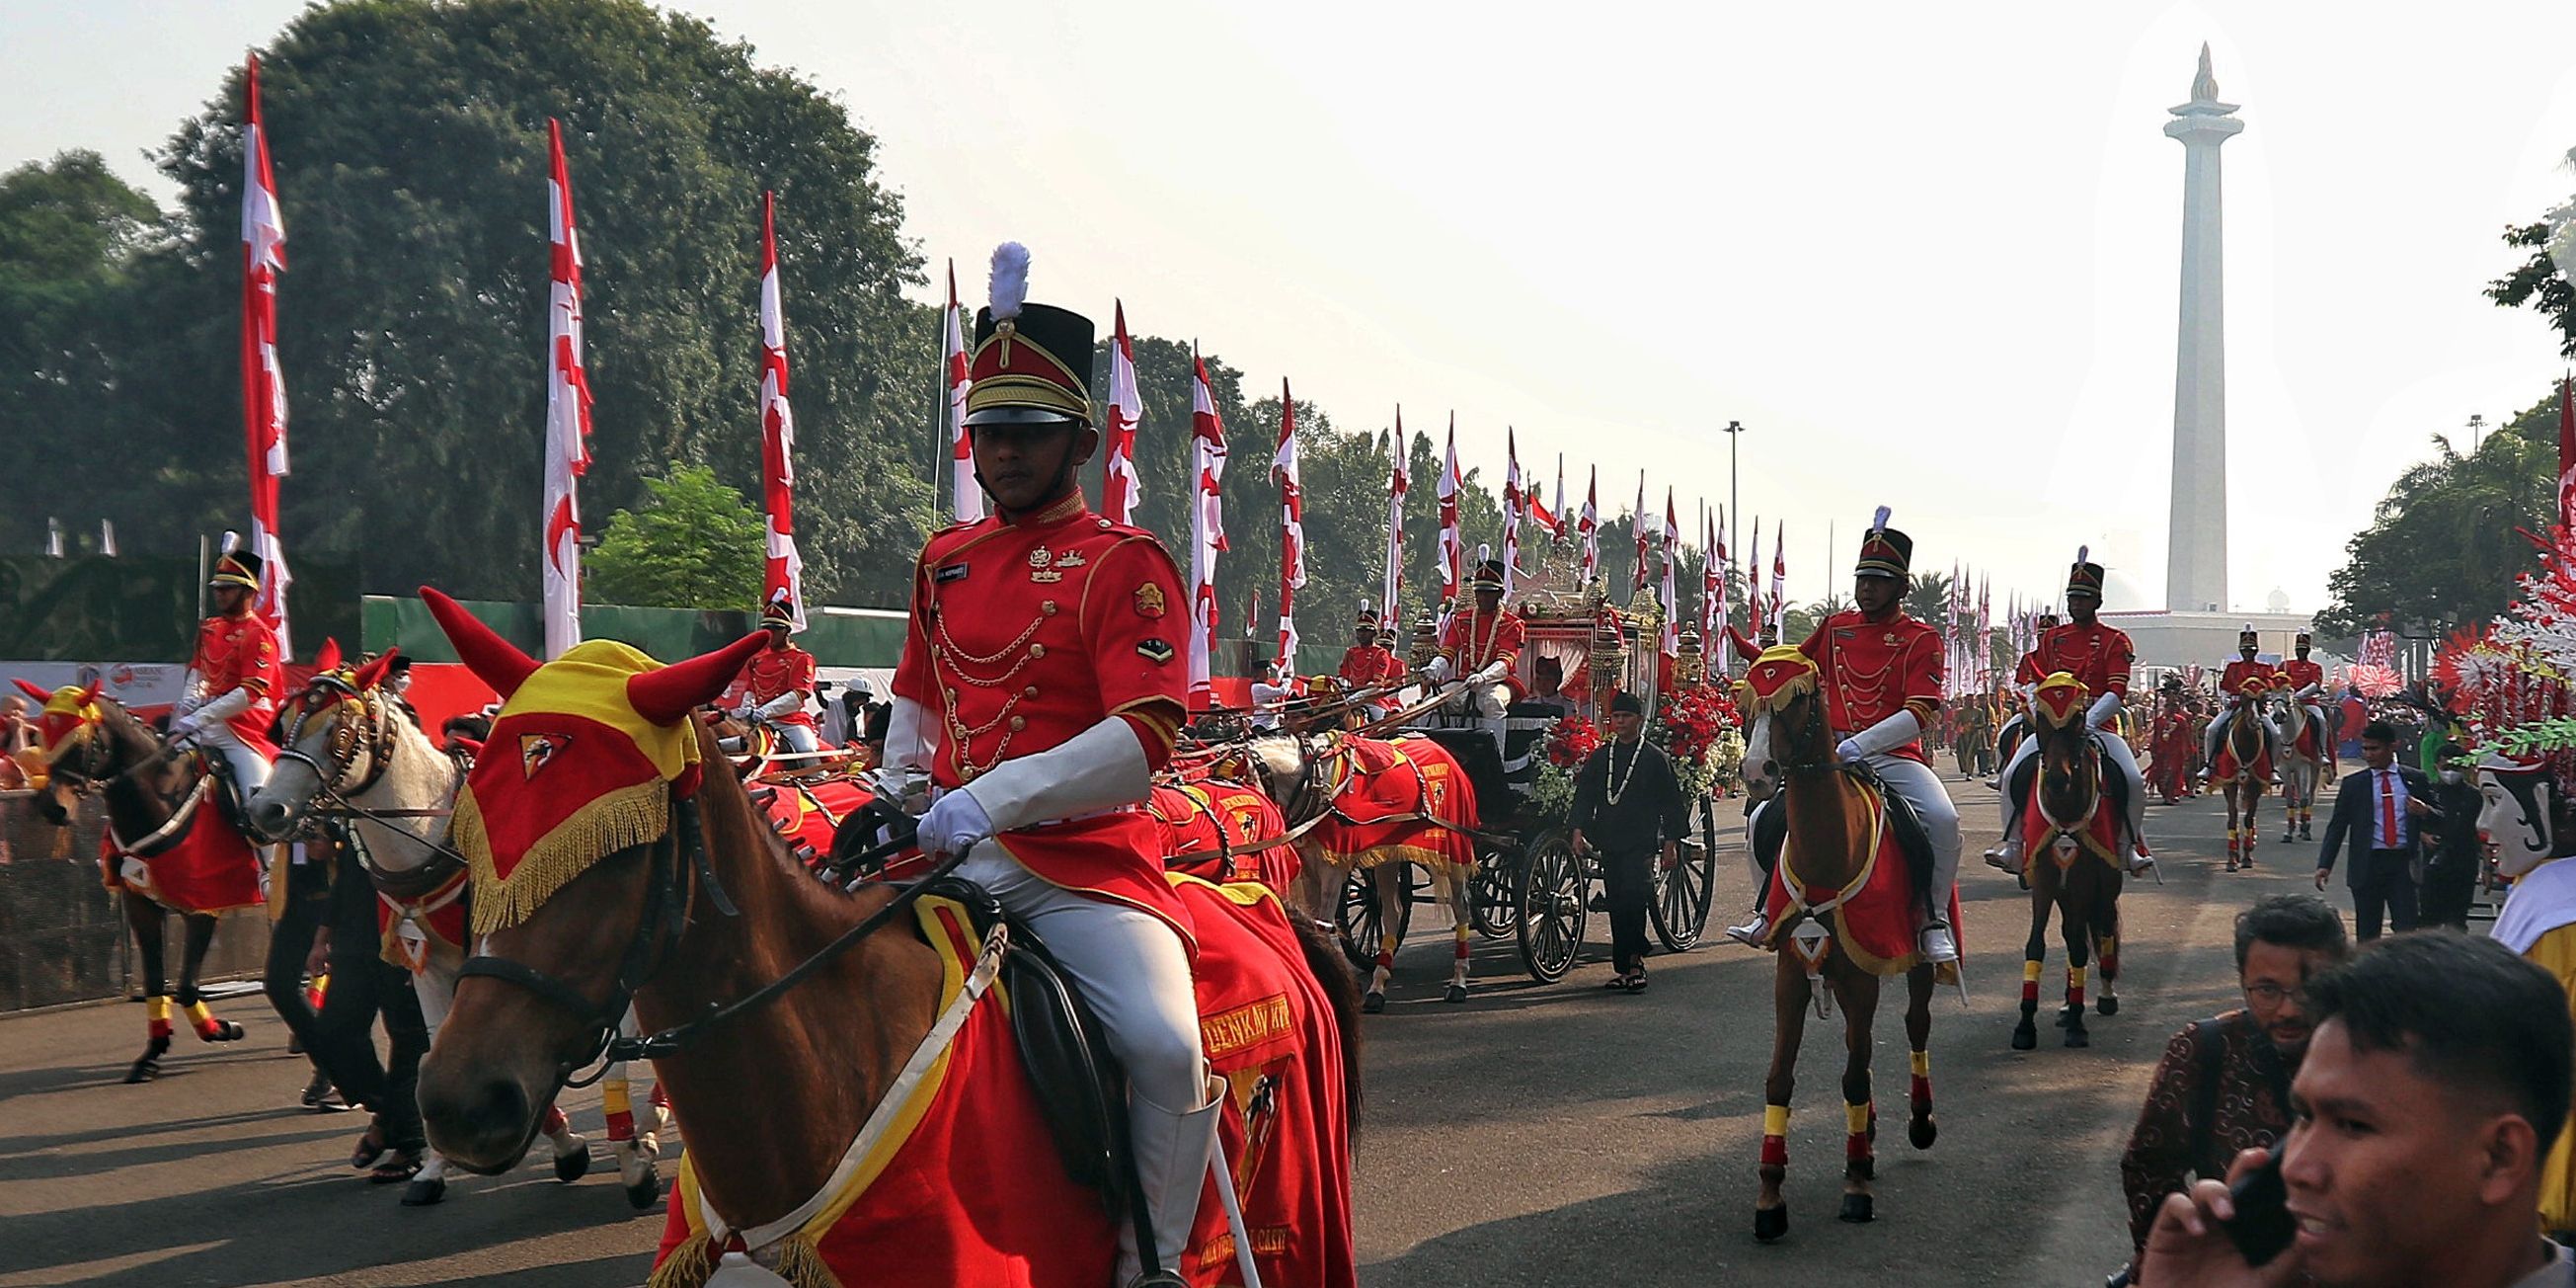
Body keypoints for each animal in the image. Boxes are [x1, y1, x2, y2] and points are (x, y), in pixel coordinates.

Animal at [13, 680, 259, 1082]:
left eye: (80, 743)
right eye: (43, 737)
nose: (51, 808)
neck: (164, 799)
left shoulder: (203, 905)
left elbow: (187, 986)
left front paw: (221, 1029)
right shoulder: (141, 904)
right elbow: (157, 980)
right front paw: (151, 1055)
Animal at [247, 670, 669, 1210]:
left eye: (337, 734)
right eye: (282, 727)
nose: (265, 809)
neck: (435, 835)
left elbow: (614, 1049)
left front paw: (632, 1160)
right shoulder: (434, 966)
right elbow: (436, 1049)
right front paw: (441, 1166)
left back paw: (651, 1127)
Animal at [1731, 649, 1936, 1242]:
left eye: (1796, 700)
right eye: (1746, 701)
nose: (1757, 773)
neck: (1828, 852)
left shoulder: (1865, 975)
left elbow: (1852, 1075)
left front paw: (1857, 1189)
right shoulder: (1791, 976)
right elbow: (1780, 1078)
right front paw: (1770, 1196)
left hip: (1910, 959)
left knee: (1913, 1025)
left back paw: (1915, 1124)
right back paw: (1866, 1141)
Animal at [2009, 675, 2133, 1045]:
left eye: (2079, 720)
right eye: (2042, 719)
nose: (2056, 779)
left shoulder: (2084, 883)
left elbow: (2080, 947)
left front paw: (2078, 1024)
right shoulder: (2045, 881)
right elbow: (2036, 945)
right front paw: (2025, 1024)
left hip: (2105, 884)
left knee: (2103, 928)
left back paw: (2104, 996)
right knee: (2071, 933)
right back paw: (2066, 1004)